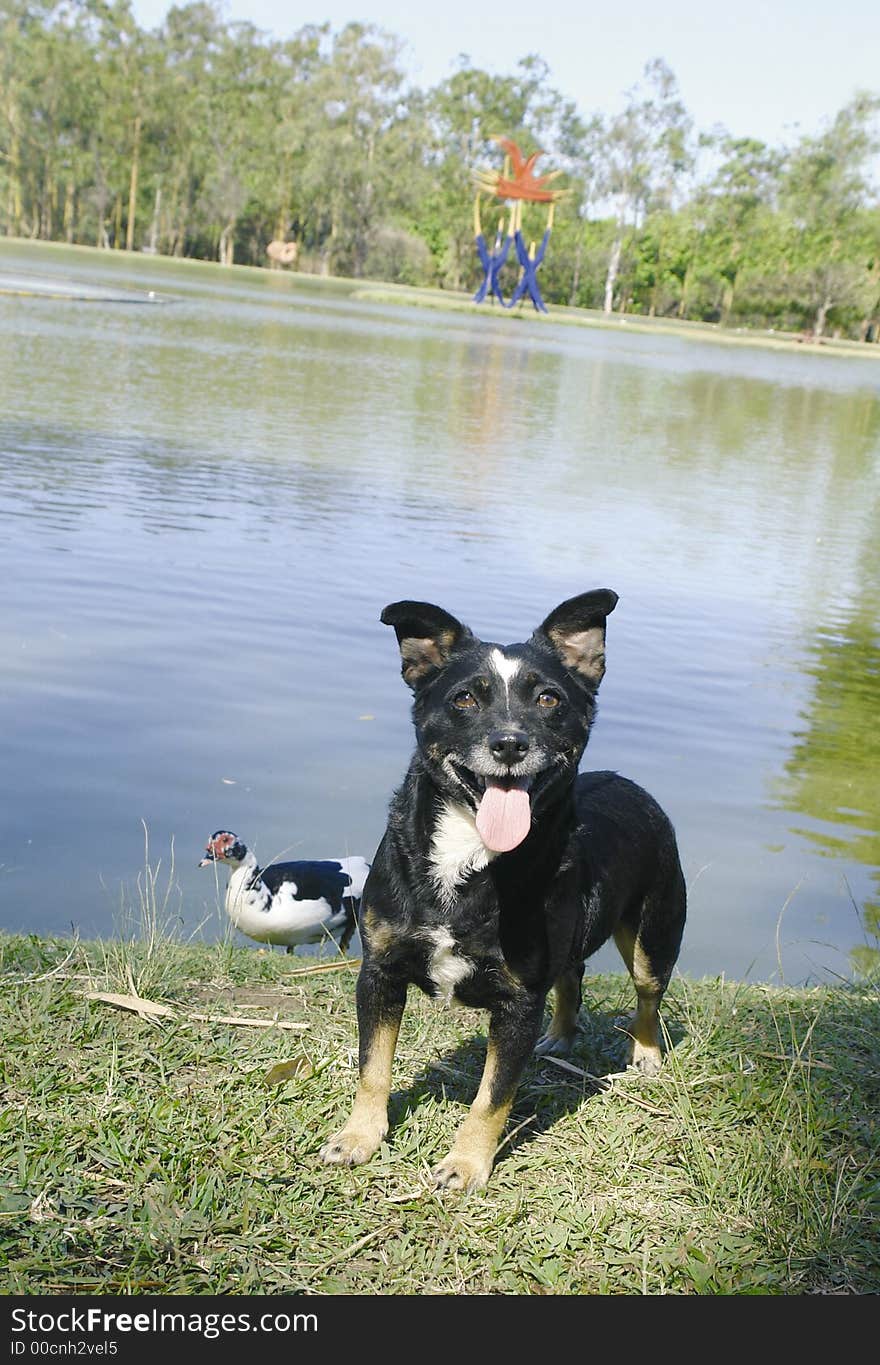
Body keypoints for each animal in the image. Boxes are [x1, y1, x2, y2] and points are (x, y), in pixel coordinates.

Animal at [321, 592, 687, 1190]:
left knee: (647, 994)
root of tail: (633, 785)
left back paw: (646, 1054)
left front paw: (466, 1164)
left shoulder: (518, 1000)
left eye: (548, 698)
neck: (470, 857)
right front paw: (359, 1137)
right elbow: (373, 1066)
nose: (510, 743)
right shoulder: (379, 971)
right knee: (572, 975)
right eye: (465, 698)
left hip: (655, 933)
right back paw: (560, 1035)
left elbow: (492, 1096)